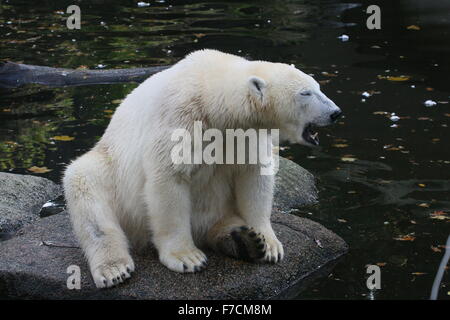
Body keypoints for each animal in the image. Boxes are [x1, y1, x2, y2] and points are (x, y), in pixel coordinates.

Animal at [61, 49, 340, 288]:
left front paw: (269, 244)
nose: (336, 112)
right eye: (306, 93)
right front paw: (186, 257)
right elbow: (169, 180)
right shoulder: (180, 120)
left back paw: (243, 240)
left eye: (317, 87)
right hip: (111, 170)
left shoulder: (247, 135)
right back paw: (114, 268)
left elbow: (254, 177)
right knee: (86, 186)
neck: (213, 101)